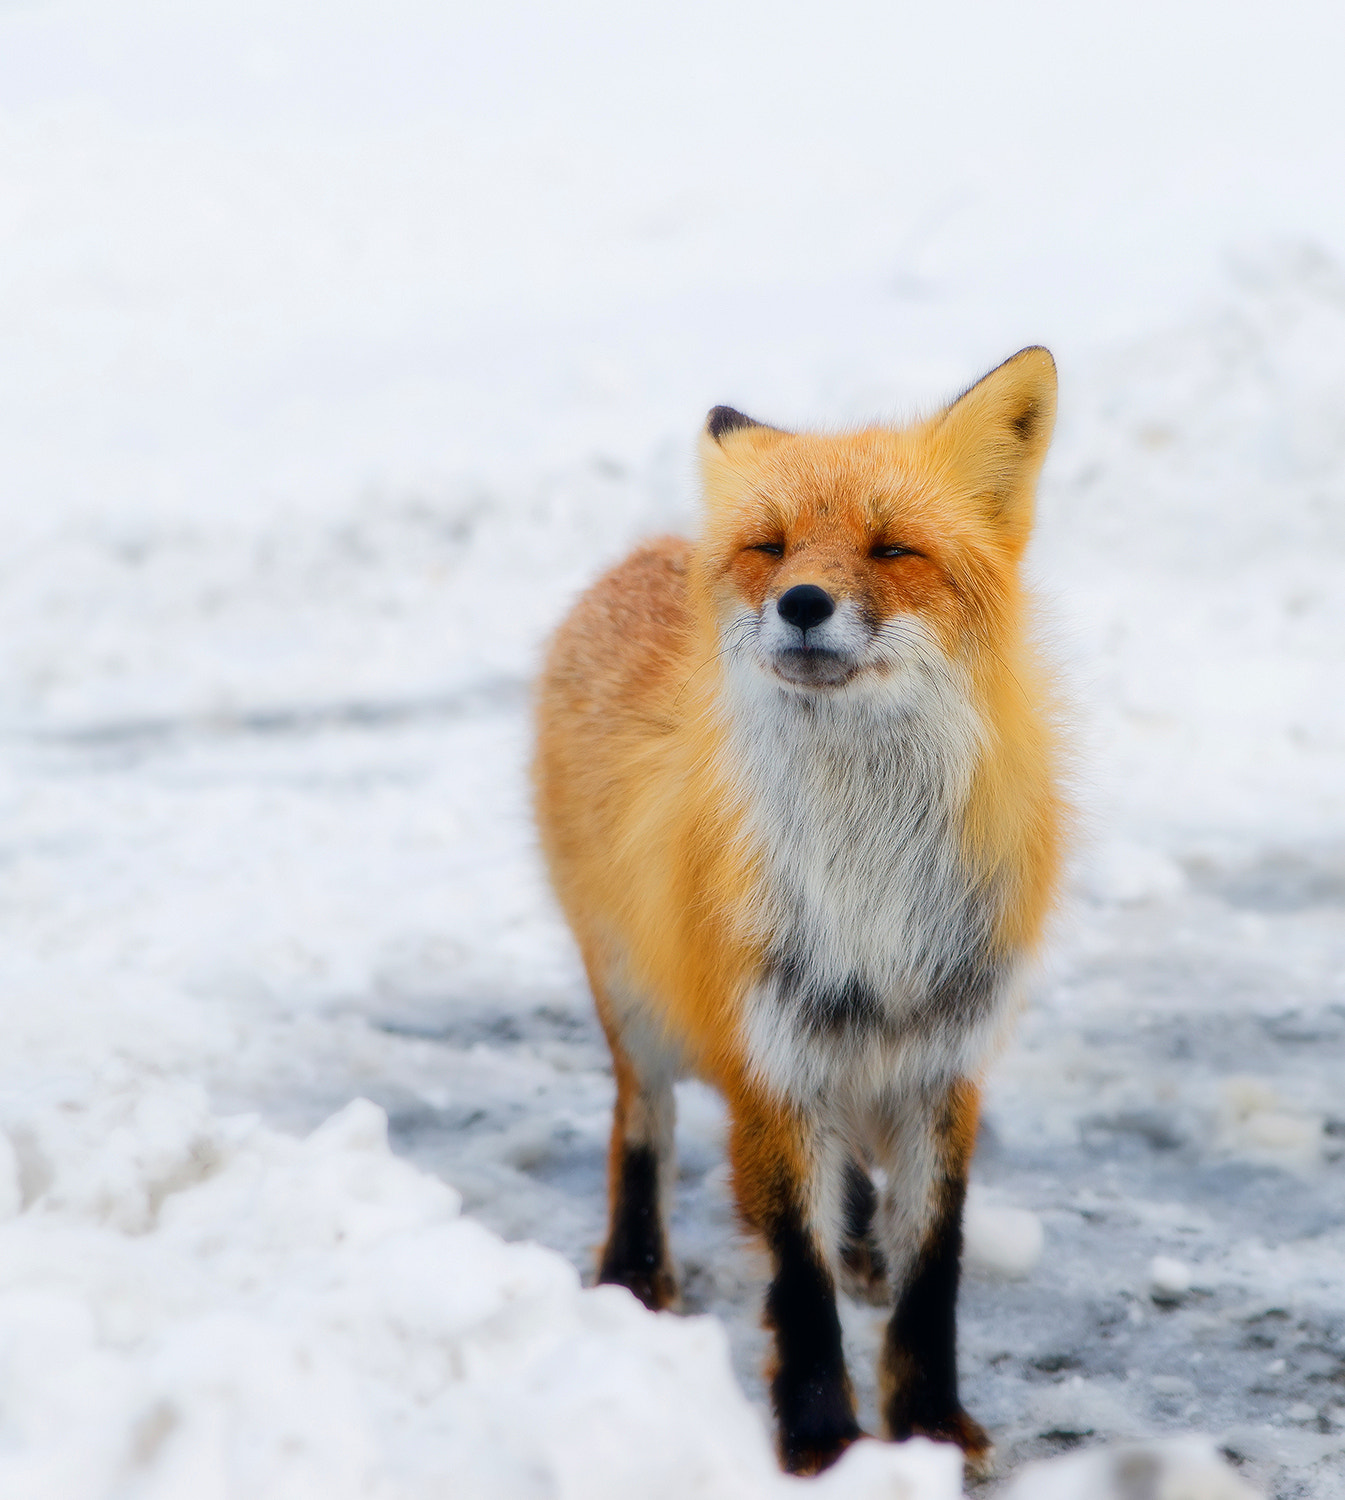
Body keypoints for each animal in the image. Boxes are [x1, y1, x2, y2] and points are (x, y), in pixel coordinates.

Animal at [530, 348, 1067, 1476]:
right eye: (770, 548)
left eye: (892, 547)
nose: (805, 601)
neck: (868, 882)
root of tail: (645, 551)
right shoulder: (767, 1062)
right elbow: (798, 1280)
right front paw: (824, 1442)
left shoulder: (942, 1059)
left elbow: (931, 1270)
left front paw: (930, 1428)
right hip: (636, 1002)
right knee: (639, 1122)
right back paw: (634, 1274)